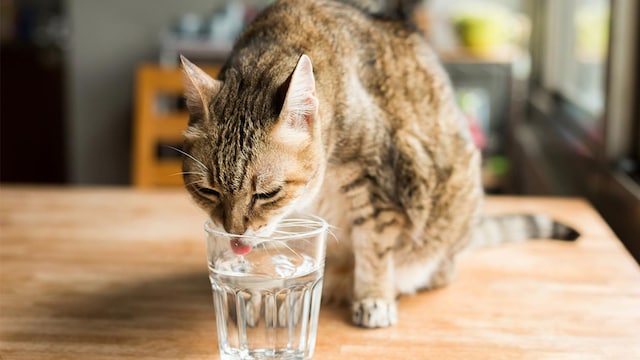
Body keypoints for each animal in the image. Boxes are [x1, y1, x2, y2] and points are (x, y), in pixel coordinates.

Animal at [180, 0, 580, 328]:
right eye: (207, 191)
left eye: (267, 193)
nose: (233, 234)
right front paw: (257, 289)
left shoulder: (376, 179)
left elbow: (374, 245)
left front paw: (374, 296)